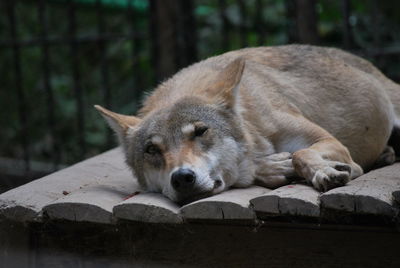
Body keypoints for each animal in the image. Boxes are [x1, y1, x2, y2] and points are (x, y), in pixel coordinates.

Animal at [95, 45, 398, 205]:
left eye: (200, 131)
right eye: (152, 150)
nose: (182, 177)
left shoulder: (331, 142)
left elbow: (301, 154)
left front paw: (323, 172)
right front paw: (271, 167)